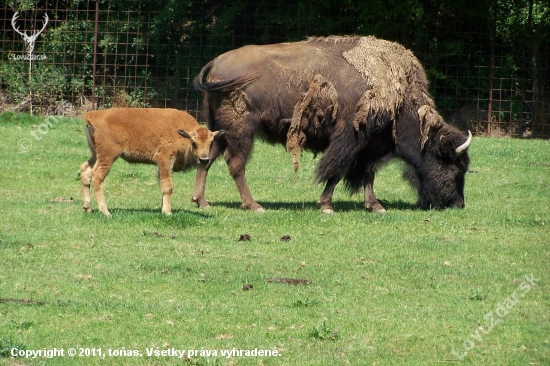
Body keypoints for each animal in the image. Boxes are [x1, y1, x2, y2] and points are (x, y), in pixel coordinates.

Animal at [79, 108, 224, 217]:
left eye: (211, 143)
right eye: (194, 143)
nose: (204, 160)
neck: (182, 133)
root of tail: (93, 115)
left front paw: (162, 208)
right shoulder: (165, 160)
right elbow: (167, 186)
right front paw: (167, 212)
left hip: (95, 155)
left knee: (85, 171)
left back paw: (88, 208)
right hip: (108, 156)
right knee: (97, 176)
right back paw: (105, 211)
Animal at [192, 35, 472, 213]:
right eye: (455, 169)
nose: (458, 204)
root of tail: (215, 63)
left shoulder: (371, 145)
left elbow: (368, 174)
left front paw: (375, 206)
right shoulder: (350, 139)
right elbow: (336, 170)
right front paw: (326, 206)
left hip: (220, 130)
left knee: (208, 158)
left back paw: (201, 201)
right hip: (241, 132)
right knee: (236, 164)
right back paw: (253, 205)